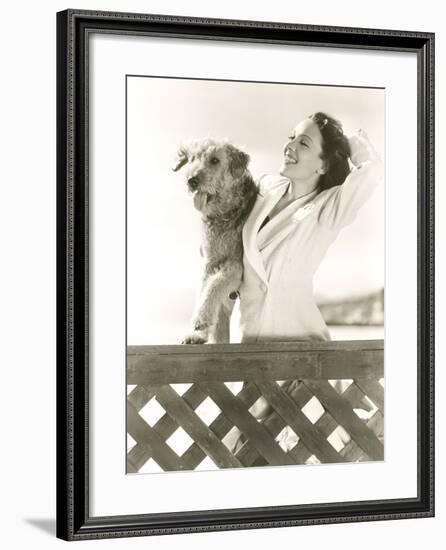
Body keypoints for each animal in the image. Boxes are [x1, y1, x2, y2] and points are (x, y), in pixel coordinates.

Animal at [173, 138, 260, 344]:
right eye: (192, 159)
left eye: (214, 160)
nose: (192, 180)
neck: (224, 214)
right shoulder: (210, 262)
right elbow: (204, 289)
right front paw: (196, 333)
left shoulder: (236, 265)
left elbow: (215, 285)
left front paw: (201, 321)